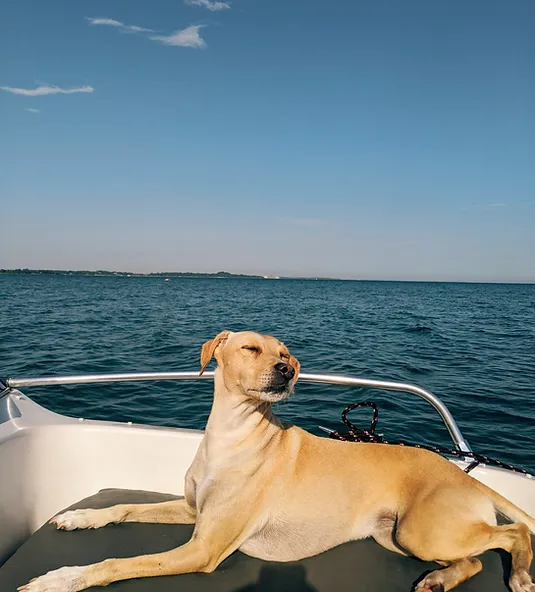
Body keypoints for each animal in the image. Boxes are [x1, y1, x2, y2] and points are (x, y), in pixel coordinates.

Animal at [18, 330, 535, 588]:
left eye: (286, 353)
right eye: (251, 348)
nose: (286, 369)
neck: (233, 437)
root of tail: (464, 474)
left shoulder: (203, 548)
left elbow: (118, 563)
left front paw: (60, 579)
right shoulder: (192, 511)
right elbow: (124, 507)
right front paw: (82, 516)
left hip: (423, 531)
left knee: (513, 534)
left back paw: (520, 575)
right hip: (395, 537)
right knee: (474, 561)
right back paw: (439, 581)